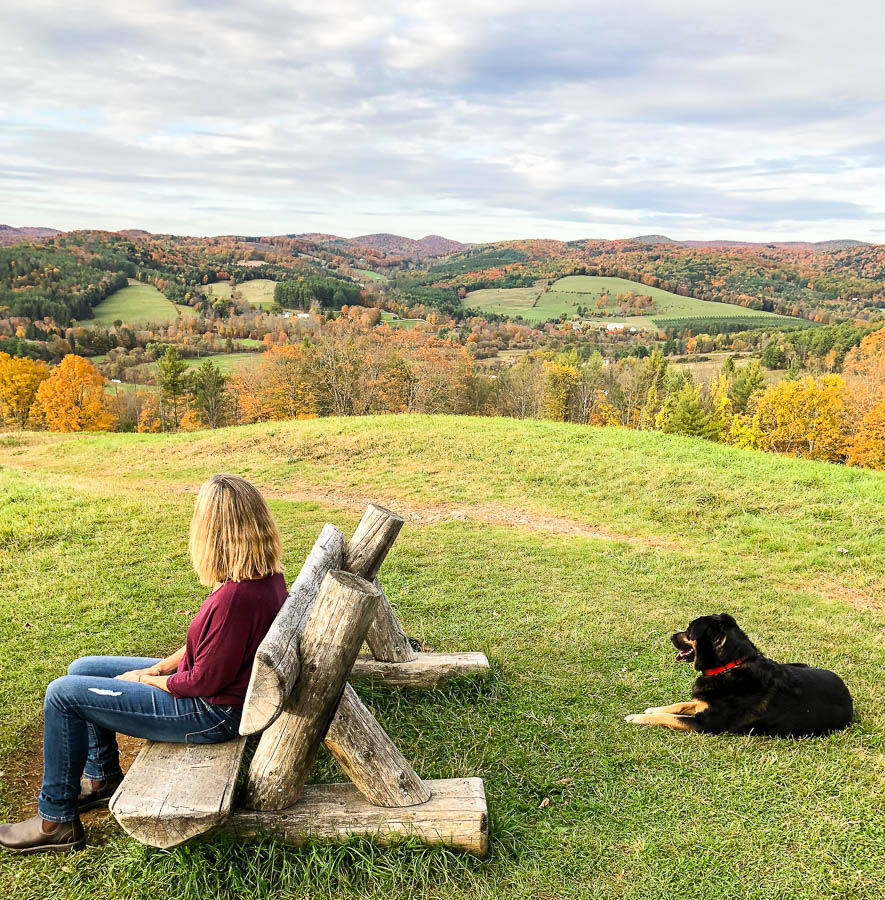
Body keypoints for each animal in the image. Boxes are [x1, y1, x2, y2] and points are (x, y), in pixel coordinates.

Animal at [624, 612, 852, 740]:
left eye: (689, 630)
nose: (671, 636)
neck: (728, 666)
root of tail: (849, 698)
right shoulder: (702, 703)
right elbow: (679, 705)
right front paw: (653, 709)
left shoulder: (705, 724)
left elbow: (670, 717)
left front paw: (638, 717)